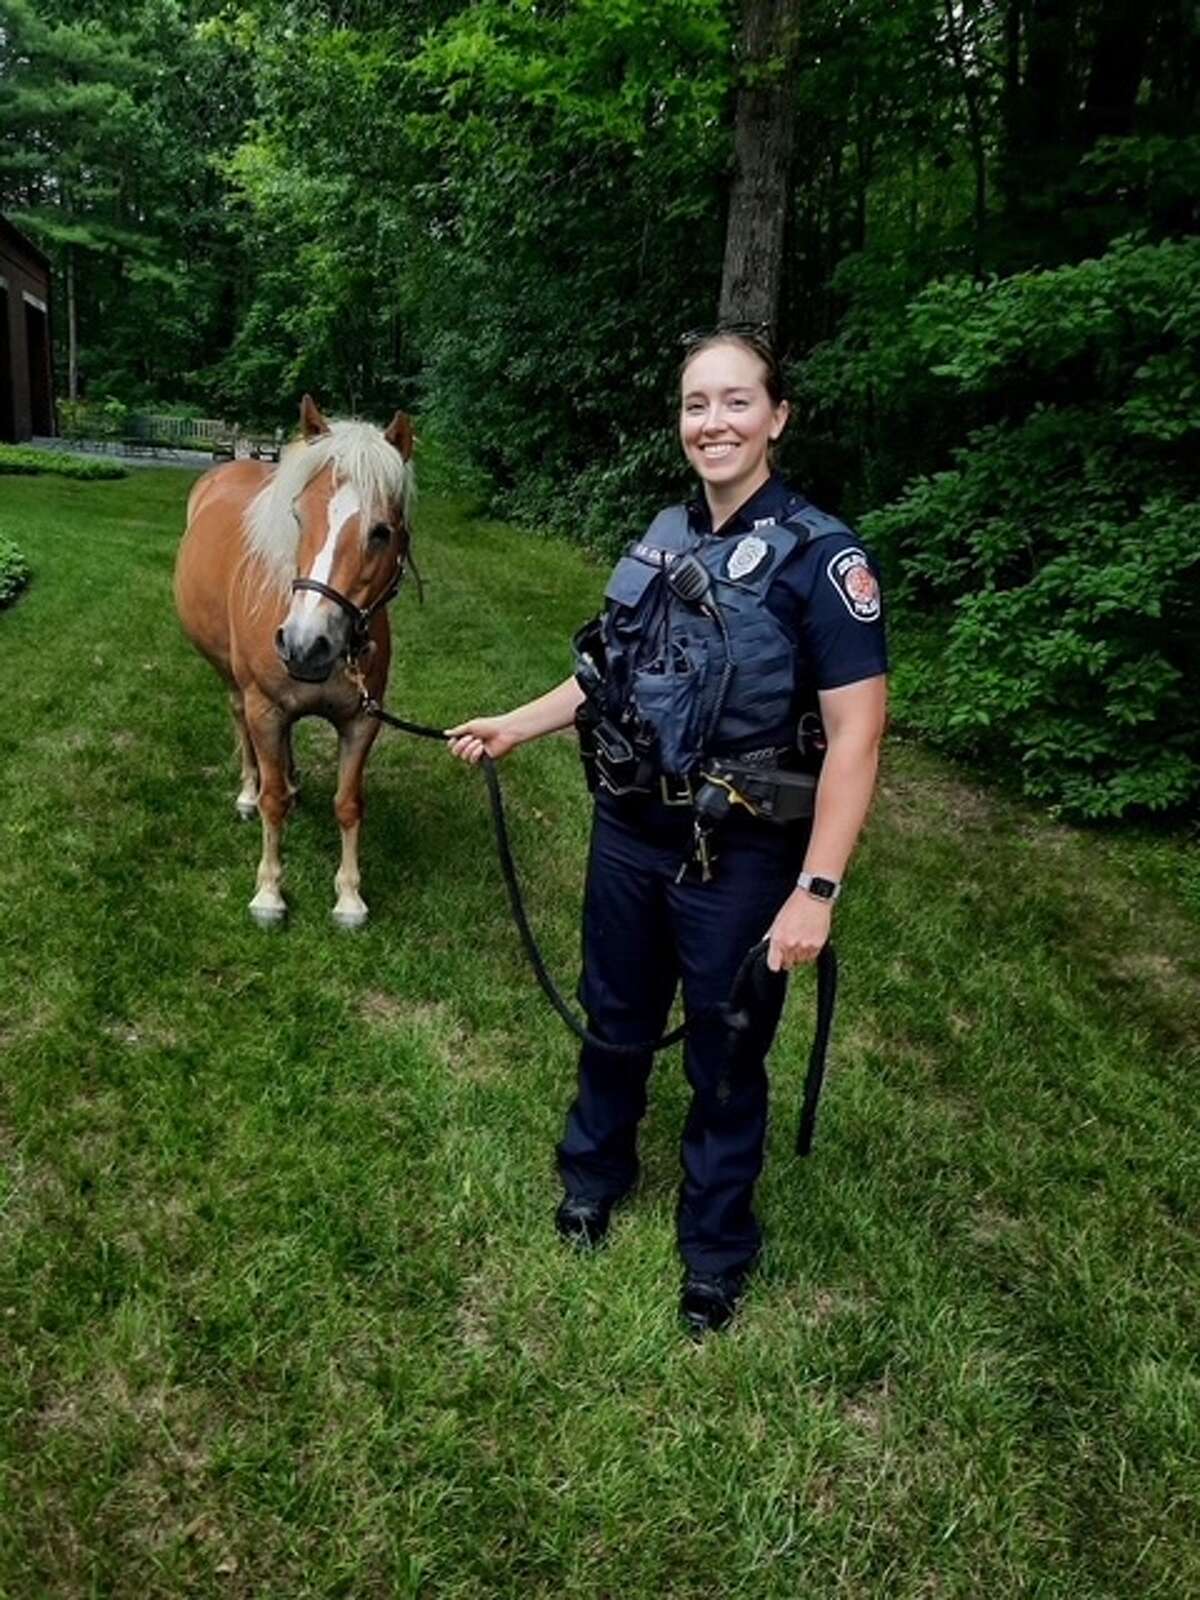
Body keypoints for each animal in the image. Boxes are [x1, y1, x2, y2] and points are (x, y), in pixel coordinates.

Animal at [173, 392, 419, 934]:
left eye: (381, 532)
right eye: (299, 517)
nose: (305, 644)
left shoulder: (361, 722)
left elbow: (348, 805)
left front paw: (349, 898)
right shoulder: (265, 708)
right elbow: (272, 803)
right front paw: (268, 893)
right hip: (234, 682)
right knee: (241, 725)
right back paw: (249, 790)